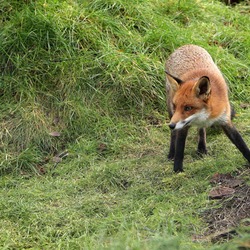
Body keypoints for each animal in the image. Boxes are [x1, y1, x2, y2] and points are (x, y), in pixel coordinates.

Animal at [166, 44, 250, 172]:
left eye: (188, 108)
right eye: (176, 106)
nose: (171, 125)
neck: (205, 116)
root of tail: (187, 45)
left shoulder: (225, 119)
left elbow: (240, 143)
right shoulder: (182, 125)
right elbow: (180, 149)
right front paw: (177, 170)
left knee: (201, 130)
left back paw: (202, 148)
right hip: (170, 111)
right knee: (173, 135)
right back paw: (171, 153)